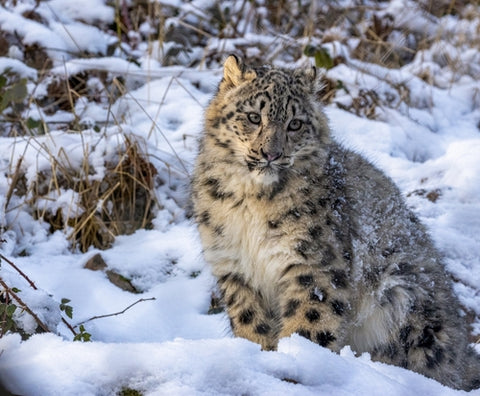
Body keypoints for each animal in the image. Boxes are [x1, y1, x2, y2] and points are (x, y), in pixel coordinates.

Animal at [190, 55, 480, 390]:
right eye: (252, 116)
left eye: (295, 123)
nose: (271, 154)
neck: (252, 202)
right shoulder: (233, 265)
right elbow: (250, 321)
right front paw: (259, 356)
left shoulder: (314, 265)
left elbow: (310, 321)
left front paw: (294, 365)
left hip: (406, 299)